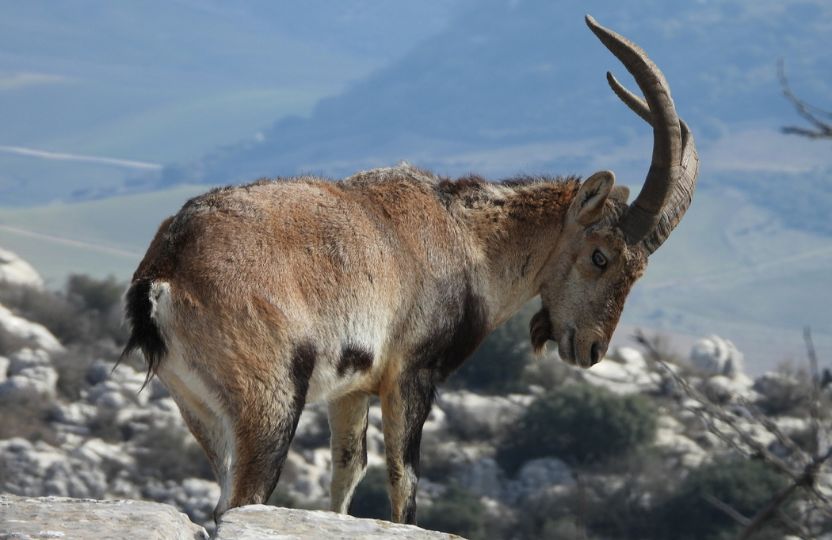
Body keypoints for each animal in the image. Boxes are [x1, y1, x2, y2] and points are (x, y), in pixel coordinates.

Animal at [122, 15, 698, 524]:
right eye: (601, 256)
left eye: (639, 272)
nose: (593, 349)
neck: (471, 241)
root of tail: (167, 267)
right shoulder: (411, 374)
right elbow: (405, 481)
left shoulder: (352, 388)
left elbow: (348, 471)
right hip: (268, 404)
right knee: (244, 498)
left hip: (200, 409)